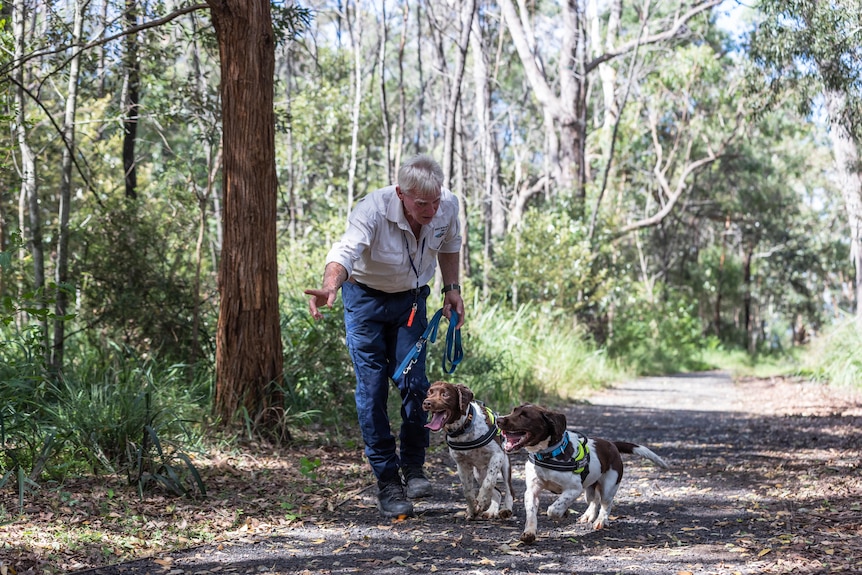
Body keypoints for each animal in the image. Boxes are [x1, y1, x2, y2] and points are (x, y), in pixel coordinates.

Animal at [424, 382, 512, 520]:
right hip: (479, 473)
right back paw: (491, 511)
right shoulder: (461, 464)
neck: (464, 427)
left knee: (508, 490)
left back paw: (506, 509)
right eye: (429, 392)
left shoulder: (497, 455)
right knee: (497, 492)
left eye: (445, 394)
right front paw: (472, 510)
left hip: (505, 464)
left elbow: (488, 483)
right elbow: (467, 491)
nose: (426, 403)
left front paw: (480, 501)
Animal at [496, 402, 672, 544]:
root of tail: (612, 444)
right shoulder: (532, 490)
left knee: (606, 503)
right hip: (590, 487)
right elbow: (531, 513)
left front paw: (562, 513)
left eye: (525, 416)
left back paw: (601, 521)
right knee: (594, 500)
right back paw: (588, 516)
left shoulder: (574, 489)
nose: (498, 420)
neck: (547, 454)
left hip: (609, 485)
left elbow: (554, 508)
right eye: (514, 410)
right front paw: (529, 533)